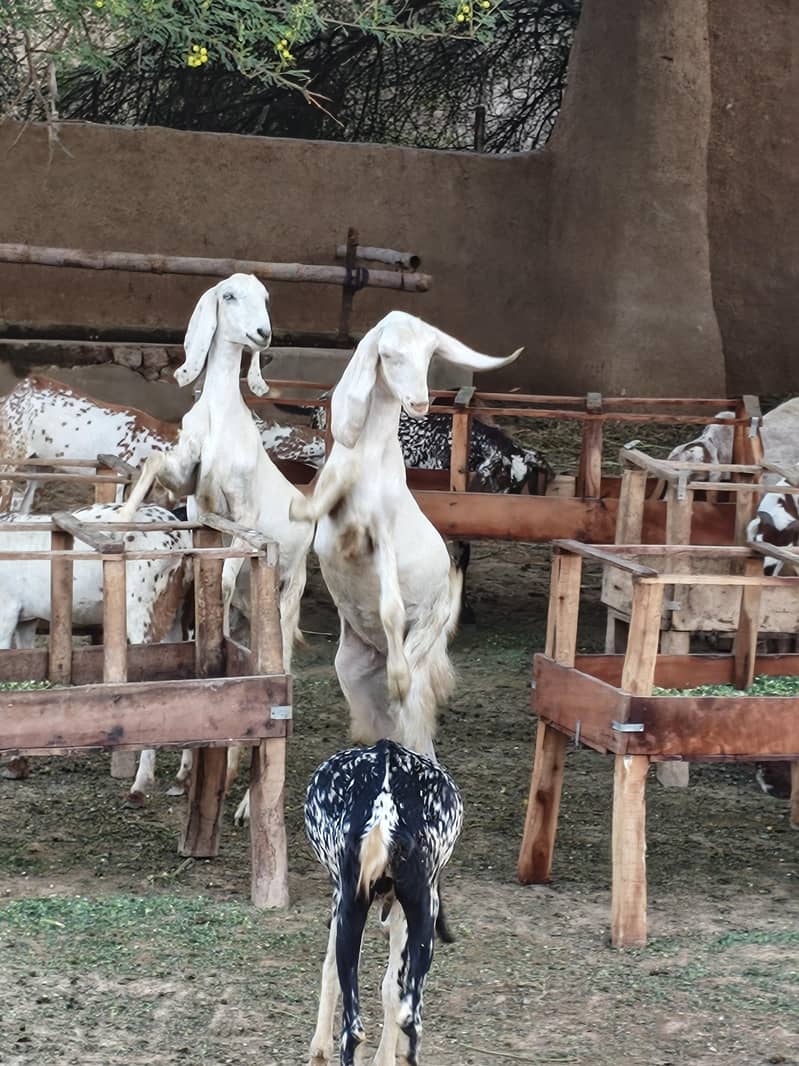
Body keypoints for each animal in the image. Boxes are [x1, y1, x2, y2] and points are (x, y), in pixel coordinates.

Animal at [0, 502, 193, 800]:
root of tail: (178, 539)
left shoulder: (6, 610)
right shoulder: (25, 619)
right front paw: (17, 763)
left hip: (143, 610)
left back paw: (140, 785)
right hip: (179, 612)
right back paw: (181, 778)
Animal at [117, 273, 315, 824]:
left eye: (266, 299)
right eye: (229, 296)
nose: (263, 333)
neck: (222, 418)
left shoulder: (241, 511)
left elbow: (227, 570)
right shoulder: (193, 490)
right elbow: (152, 465)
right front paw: (120, 519)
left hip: (288, 596)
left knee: (279, 676)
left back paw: (245, 802)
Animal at [290, 310, 520, 755]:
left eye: (430, 355)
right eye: (390, 354)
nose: (419, 402)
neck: (364, 467)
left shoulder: (383, 540)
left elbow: (391, 609)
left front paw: (397, 677)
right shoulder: (319, 527)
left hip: (427, 632)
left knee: (413, 720)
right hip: (353, 669)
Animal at [305, 739, 463, 1066]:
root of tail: (385, 810)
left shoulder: (342, 901)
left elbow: (331, 969)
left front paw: (319, 1048)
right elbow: (391, 989)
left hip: (356, 908)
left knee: (352, 1031)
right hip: (419, 914)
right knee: (409, 1021)